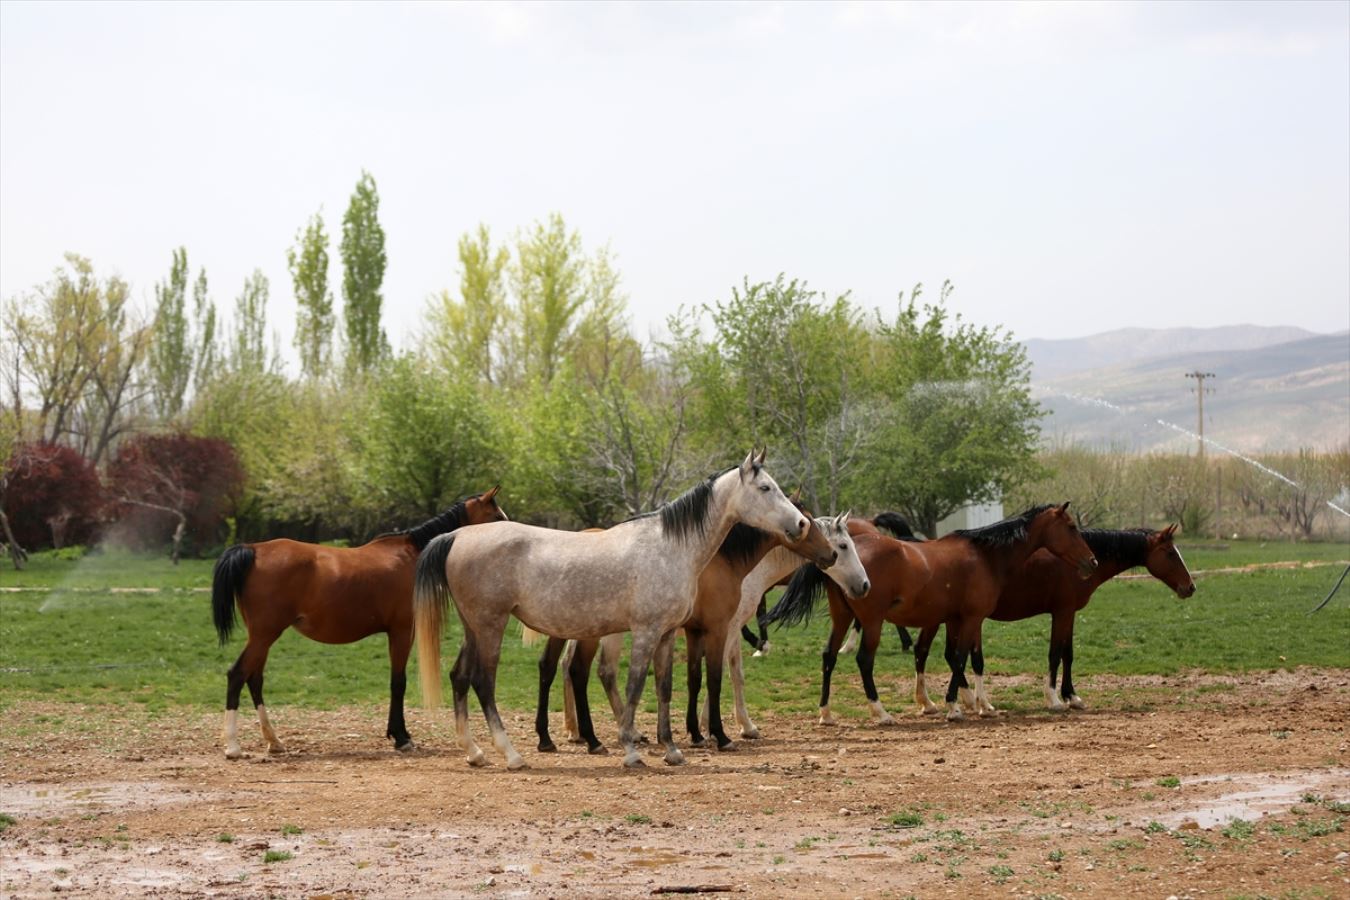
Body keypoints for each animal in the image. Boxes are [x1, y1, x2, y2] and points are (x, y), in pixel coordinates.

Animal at [210, 485, 507, 761]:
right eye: (495, 516)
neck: (413, 554)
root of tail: (253, 549)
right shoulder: (401, 632)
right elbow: (398, 682)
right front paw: (401, 736)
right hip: (264, 635)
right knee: (237, 675)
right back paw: (233, 746)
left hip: (262, 636)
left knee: (254, 679)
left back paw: (274, 741)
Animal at [415, 447, 804, 766]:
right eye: (765, 488)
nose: (800, 524)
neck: (670, 548)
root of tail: (457, 536)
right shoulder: (646, 632)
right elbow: (634, 687)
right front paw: (631, 750)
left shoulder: (665, 635)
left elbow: (664, 688)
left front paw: (671, 750)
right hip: (490, 628)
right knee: (483, 682)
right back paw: (511, 754)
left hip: (473, 629)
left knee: (460, 677)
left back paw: (475, 752)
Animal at [772, 507, 1096, 723]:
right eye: (1071, 526)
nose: (1091, 561)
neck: (985, 557)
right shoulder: (972, 619)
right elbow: (964, 657)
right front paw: (956, 706)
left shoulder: (954, 620)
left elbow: (956, 658)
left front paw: (970, 702)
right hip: (872, 622)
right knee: (864, 660)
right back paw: (880, 712)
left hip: (841, 618)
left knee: (829, 657)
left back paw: (826, 712)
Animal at [912, 523, 1198, 712]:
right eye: (1171, 553)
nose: (1190, 587)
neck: (1076, 560)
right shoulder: (1062, 612)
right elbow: (1056, 654)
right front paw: (1054, 698)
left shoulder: (1069, 614)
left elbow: (1068, 654)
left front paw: (1072, 696)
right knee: (927, 651)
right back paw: (944, 702)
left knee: (932, 653)